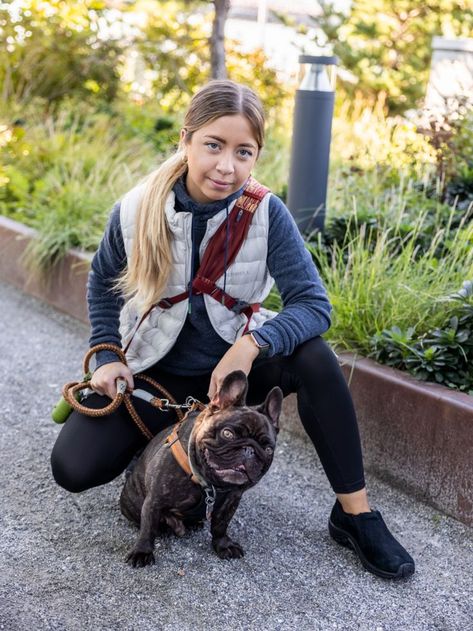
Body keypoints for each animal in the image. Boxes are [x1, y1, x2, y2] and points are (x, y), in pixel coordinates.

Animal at [120, 370, 280, 568]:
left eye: (268, 449)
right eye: (228, 433)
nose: (249, 450)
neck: (210, 484)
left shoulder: (231, 502)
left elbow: (220, 525)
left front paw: (223, 545)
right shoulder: (155, 500)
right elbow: (148, 526)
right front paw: (142, 551)